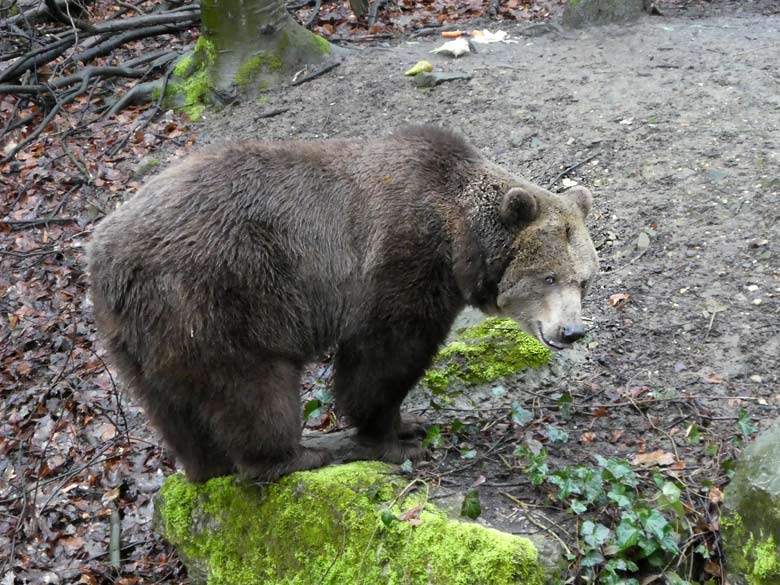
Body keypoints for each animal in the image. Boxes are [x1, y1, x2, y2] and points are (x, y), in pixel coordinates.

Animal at [88, 128, 596, 484]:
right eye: (549, 277)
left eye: (585, 279)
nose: (571, 331)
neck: (457, 238)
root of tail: (104, 254)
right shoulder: (401, 260)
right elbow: (383, 358)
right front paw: (393, 437)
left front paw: (410, 424)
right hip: (216, 297)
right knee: (252, 388)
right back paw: (295, 456)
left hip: (138, 333)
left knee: (172, 407)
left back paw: (207, 466)